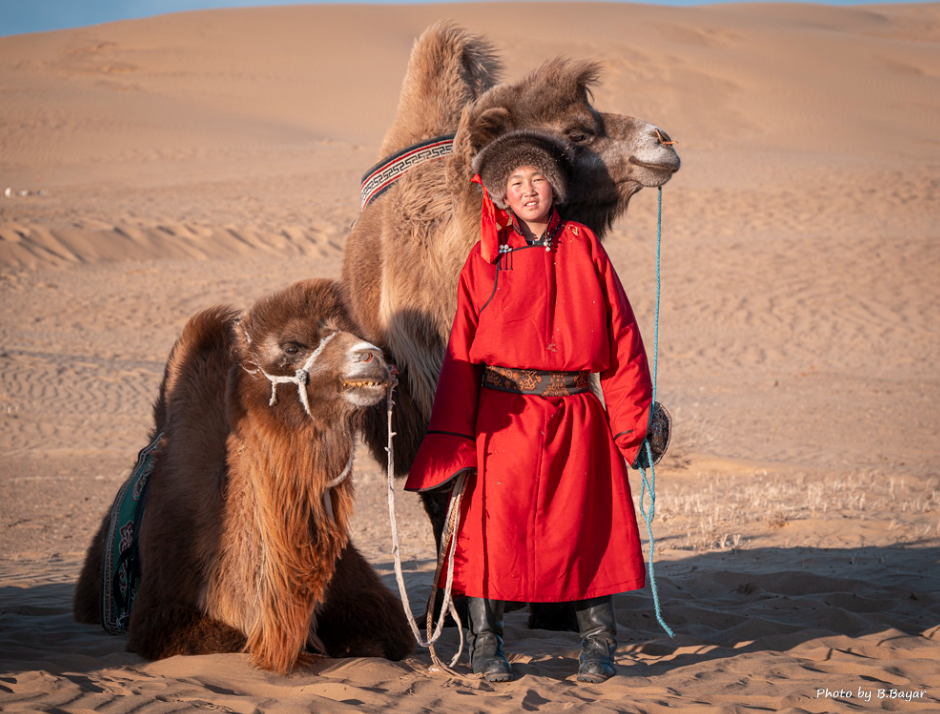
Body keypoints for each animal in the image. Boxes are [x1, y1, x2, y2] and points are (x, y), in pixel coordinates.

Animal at [73, 279, 414, 673]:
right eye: (292, 345)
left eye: (358, 334)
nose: (373, 356)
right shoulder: (161, 612)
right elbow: (226, 639)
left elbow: (379, 637)